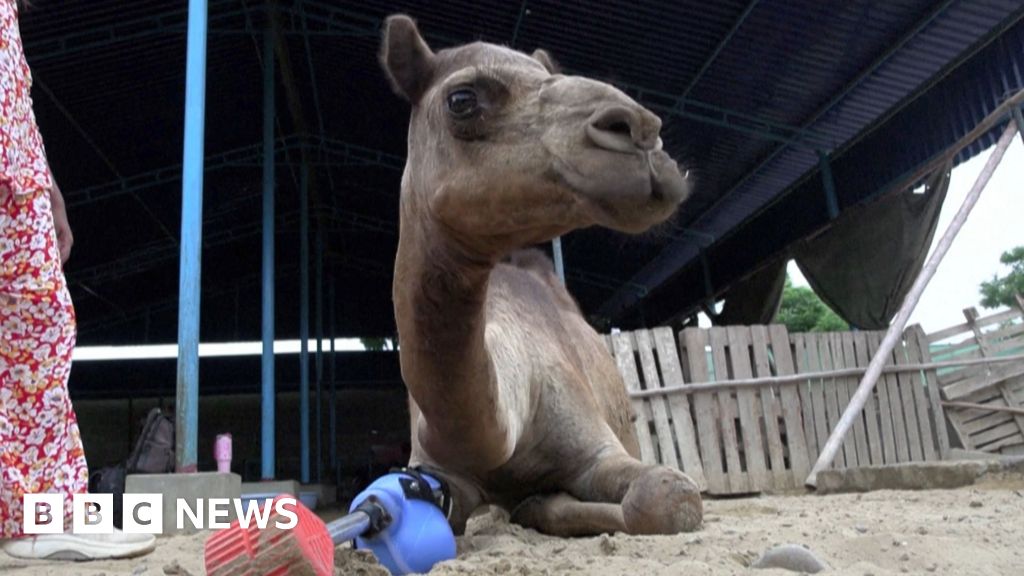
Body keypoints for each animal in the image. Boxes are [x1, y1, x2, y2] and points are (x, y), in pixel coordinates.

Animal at [381, 15, 702, 537]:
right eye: (462, 99)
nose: (641, 131)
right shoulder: (435, 472)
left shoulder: (596, 444)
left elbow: (665, 495)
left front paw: (544, 503)